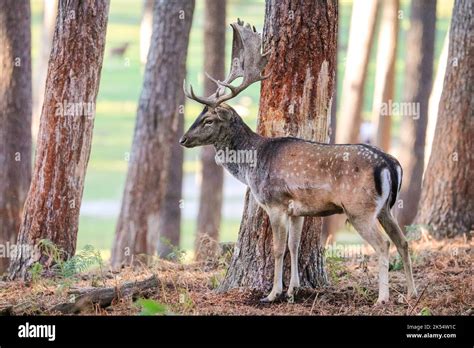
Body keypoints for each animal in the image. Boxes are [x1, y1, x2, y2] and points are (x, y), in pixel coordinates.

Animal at [180, 20, 416, 306]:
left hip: (359, 208)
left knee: (383, 244)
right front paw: (293, 290)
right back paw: (411, 292)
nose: (183, 139)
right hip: (384, 209)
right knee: (403, 241)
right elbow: (294, 246)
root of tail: (390, 164)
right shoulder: (298, 210)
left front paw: (272, 293)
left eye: (208, 120)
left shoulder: (276, 203)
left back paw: (382, 298)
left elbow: (278, 248)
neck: (253, 163)